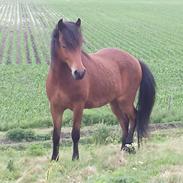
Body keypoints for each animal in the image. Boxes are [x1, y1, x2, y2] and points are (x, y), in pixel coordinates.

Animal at [46, 18, 156, 160]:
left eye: (79, 45)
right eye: (64, 45)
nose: (79, 73)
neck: (61, 80)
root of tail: (135, 60)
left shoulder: (78, 107)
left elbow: (75, 133)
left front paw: (75, 158)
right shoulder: (55, 108)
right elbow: (56, 135)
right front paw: (54, 159)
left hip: (125, 101)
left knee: (134, 117)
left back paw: (129, 147)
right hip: (114, 103)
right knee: (124, 122)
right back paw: (122, 148)